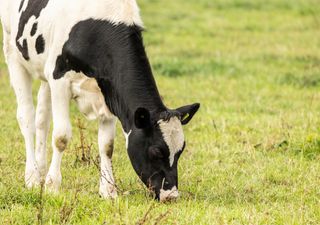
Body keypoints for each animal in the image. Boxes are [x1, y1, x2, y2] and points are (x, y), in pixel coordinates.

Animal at [0, 0, 200, 201]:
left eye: (180, 150)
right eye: (156, 151)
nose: (171, 195)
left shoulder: (109, 92)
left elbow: (107, 145)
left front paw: (108, 191)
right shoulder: (59, 78)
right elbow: (61, 137)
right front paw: (52, 186)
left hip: (44, 71)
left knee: (42, 119)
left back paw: (40, 171)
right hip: (13, 53)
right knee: (26, 118)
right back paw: (32, 177)